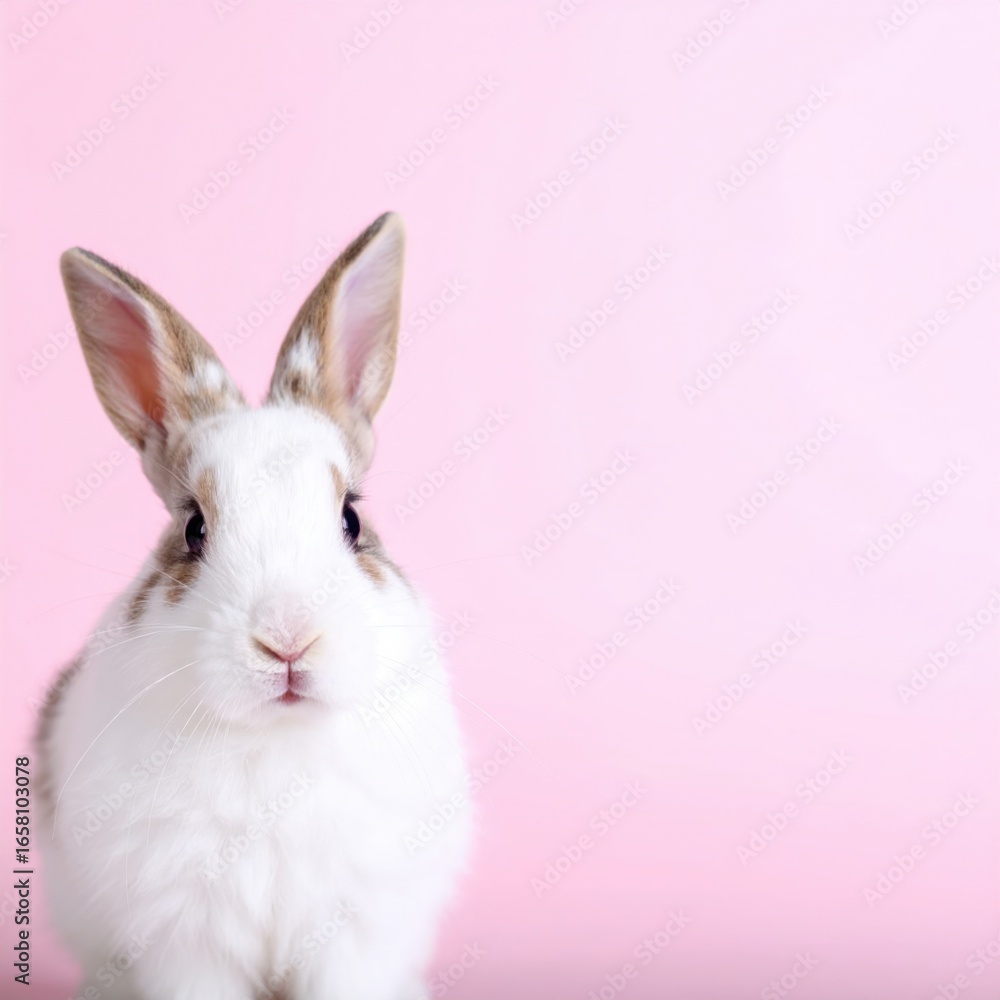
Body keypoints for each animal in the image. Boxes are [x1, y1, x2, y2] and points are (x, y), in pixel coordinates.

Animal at [35, 214, 473, 1000]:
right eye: (193, 529)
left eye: (351, 519)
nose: (287, 639)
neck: (276, 738)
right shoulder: (186, 937)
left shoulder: (354, 930)